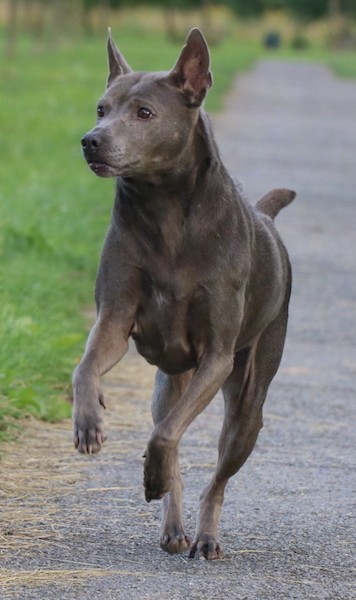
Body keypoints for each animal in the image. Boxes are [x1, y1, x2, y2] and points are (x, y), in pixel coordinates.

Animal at [72, 29, 294, 564]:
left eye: (144, 113)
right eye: (101, 108)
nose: (91, 140)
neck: (165, 208)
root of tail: (267, 220)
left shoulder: (216, 356)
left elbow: (168, 436)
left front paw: (152, 472)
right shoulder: (114, 319)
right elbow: (87, 367)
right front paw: (88, 421)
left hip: (247, 407)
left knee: (214, 475)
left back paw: (206, 535)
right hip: (168, 384)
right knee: (170, 435)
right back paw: (174, 527)